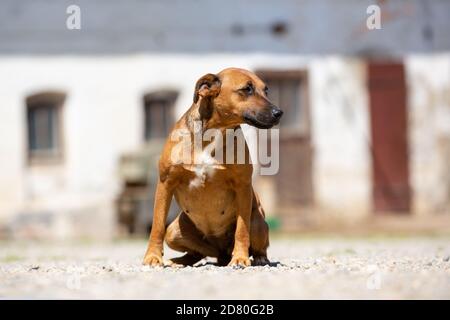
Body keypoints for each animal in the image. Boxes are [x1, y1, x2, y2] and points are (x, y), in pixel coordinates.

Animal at [142, 68, 284, 268]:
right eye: (247, 89)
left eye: (266, 91)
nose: (279, 112)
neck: (214, 132)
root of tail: (220, 253)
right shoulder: (165, 183)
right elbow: (157, 225)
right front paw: (153, 256)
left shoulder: (243, 187)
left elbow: (242, 229)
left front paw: (240, 257)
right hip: (174, 232)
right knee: (196, 252)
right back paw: (178, 261)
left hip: (258, 222)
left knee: (256, 245)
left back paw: (258, 258)